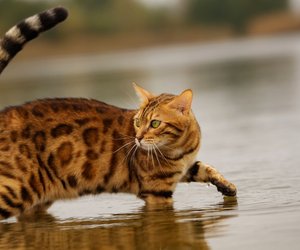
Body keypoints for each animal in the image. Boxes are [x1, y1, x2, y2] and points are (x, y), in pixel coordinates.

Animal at [0, 6, 237, 220]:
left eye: (154, 123)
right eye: (138, 122)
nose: (138, 138)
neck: (180, 148)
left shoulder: (185, 167)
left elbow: (205, 168)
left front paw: (227, 186)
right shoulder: (157, 191)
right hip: (15, 190)